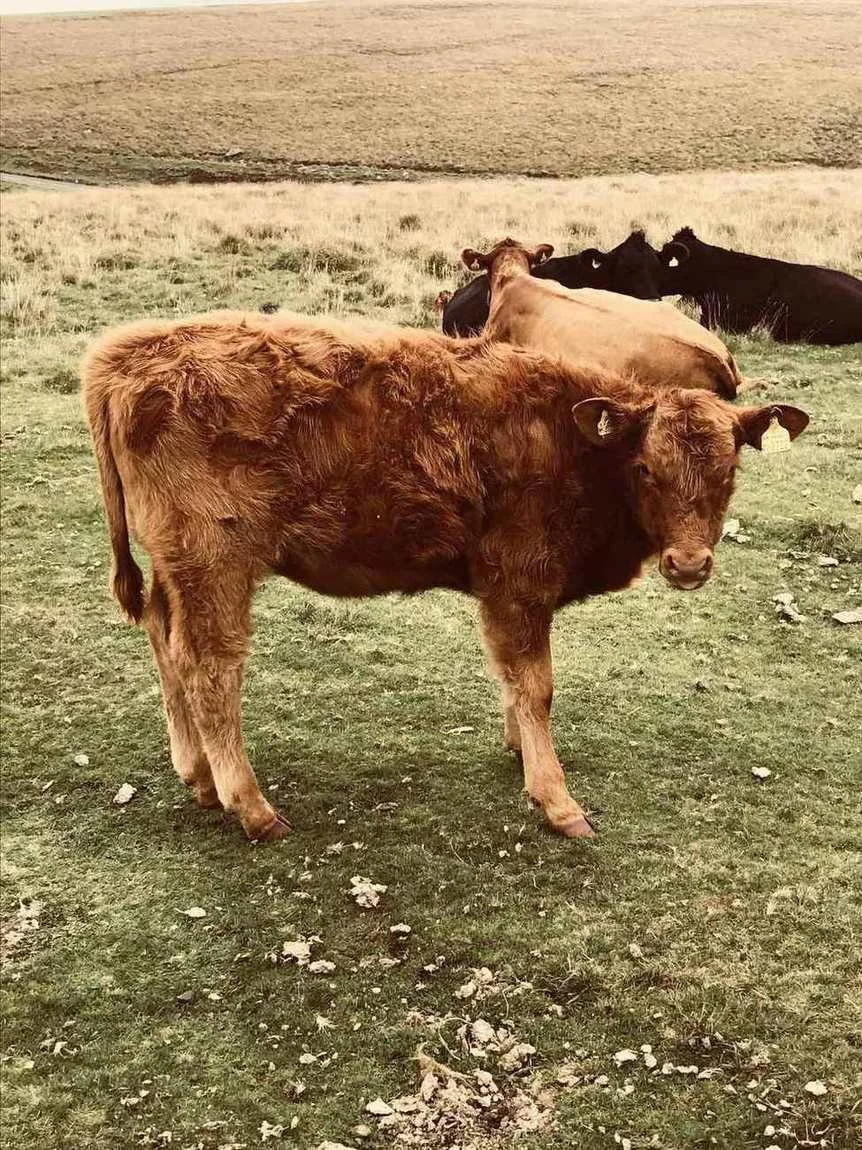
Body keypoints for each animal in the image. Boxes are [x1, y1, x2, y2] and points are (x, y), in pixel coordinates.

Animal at [83, 310, 807, 843]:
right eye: (648, 469)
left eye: (729, 471)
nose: (688, 563)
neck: (572, 440)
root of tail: (124, 356)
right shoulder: (519, 583)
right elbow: (536, 684)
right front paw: (557, 800)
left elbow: (515, 682)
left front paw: (519, 748)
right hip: (215, 565)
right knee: (209, 667)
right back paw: (251, 806)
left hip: (177, 570)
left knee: (165, 642)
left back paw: (198, 775)